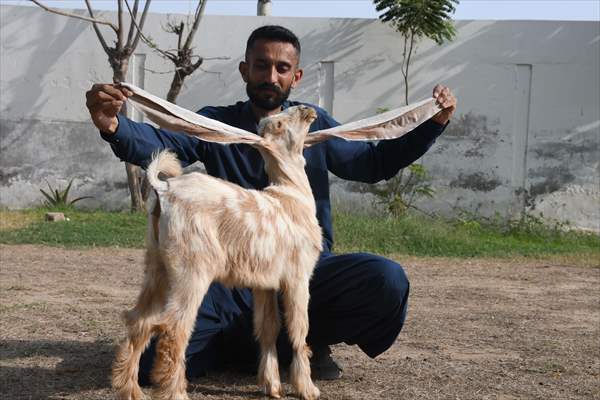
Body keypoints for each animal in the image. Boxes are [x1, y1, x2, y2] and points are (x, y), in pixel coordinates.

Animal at [109, 82, 440, 400]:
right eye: (283, 122)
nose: (307, 109)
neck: (291, 194)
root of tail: (164, 191)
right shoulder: (297, 277)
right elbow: (298, 330)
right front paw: (306, 388)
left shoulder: (264, 284)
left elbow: (267, 328)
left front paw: (272, 386)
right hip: (191, 270)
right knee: (172, 330)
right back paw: (175, 392)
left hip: (158, 268)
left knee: (139, 321)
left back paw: (130, 390)